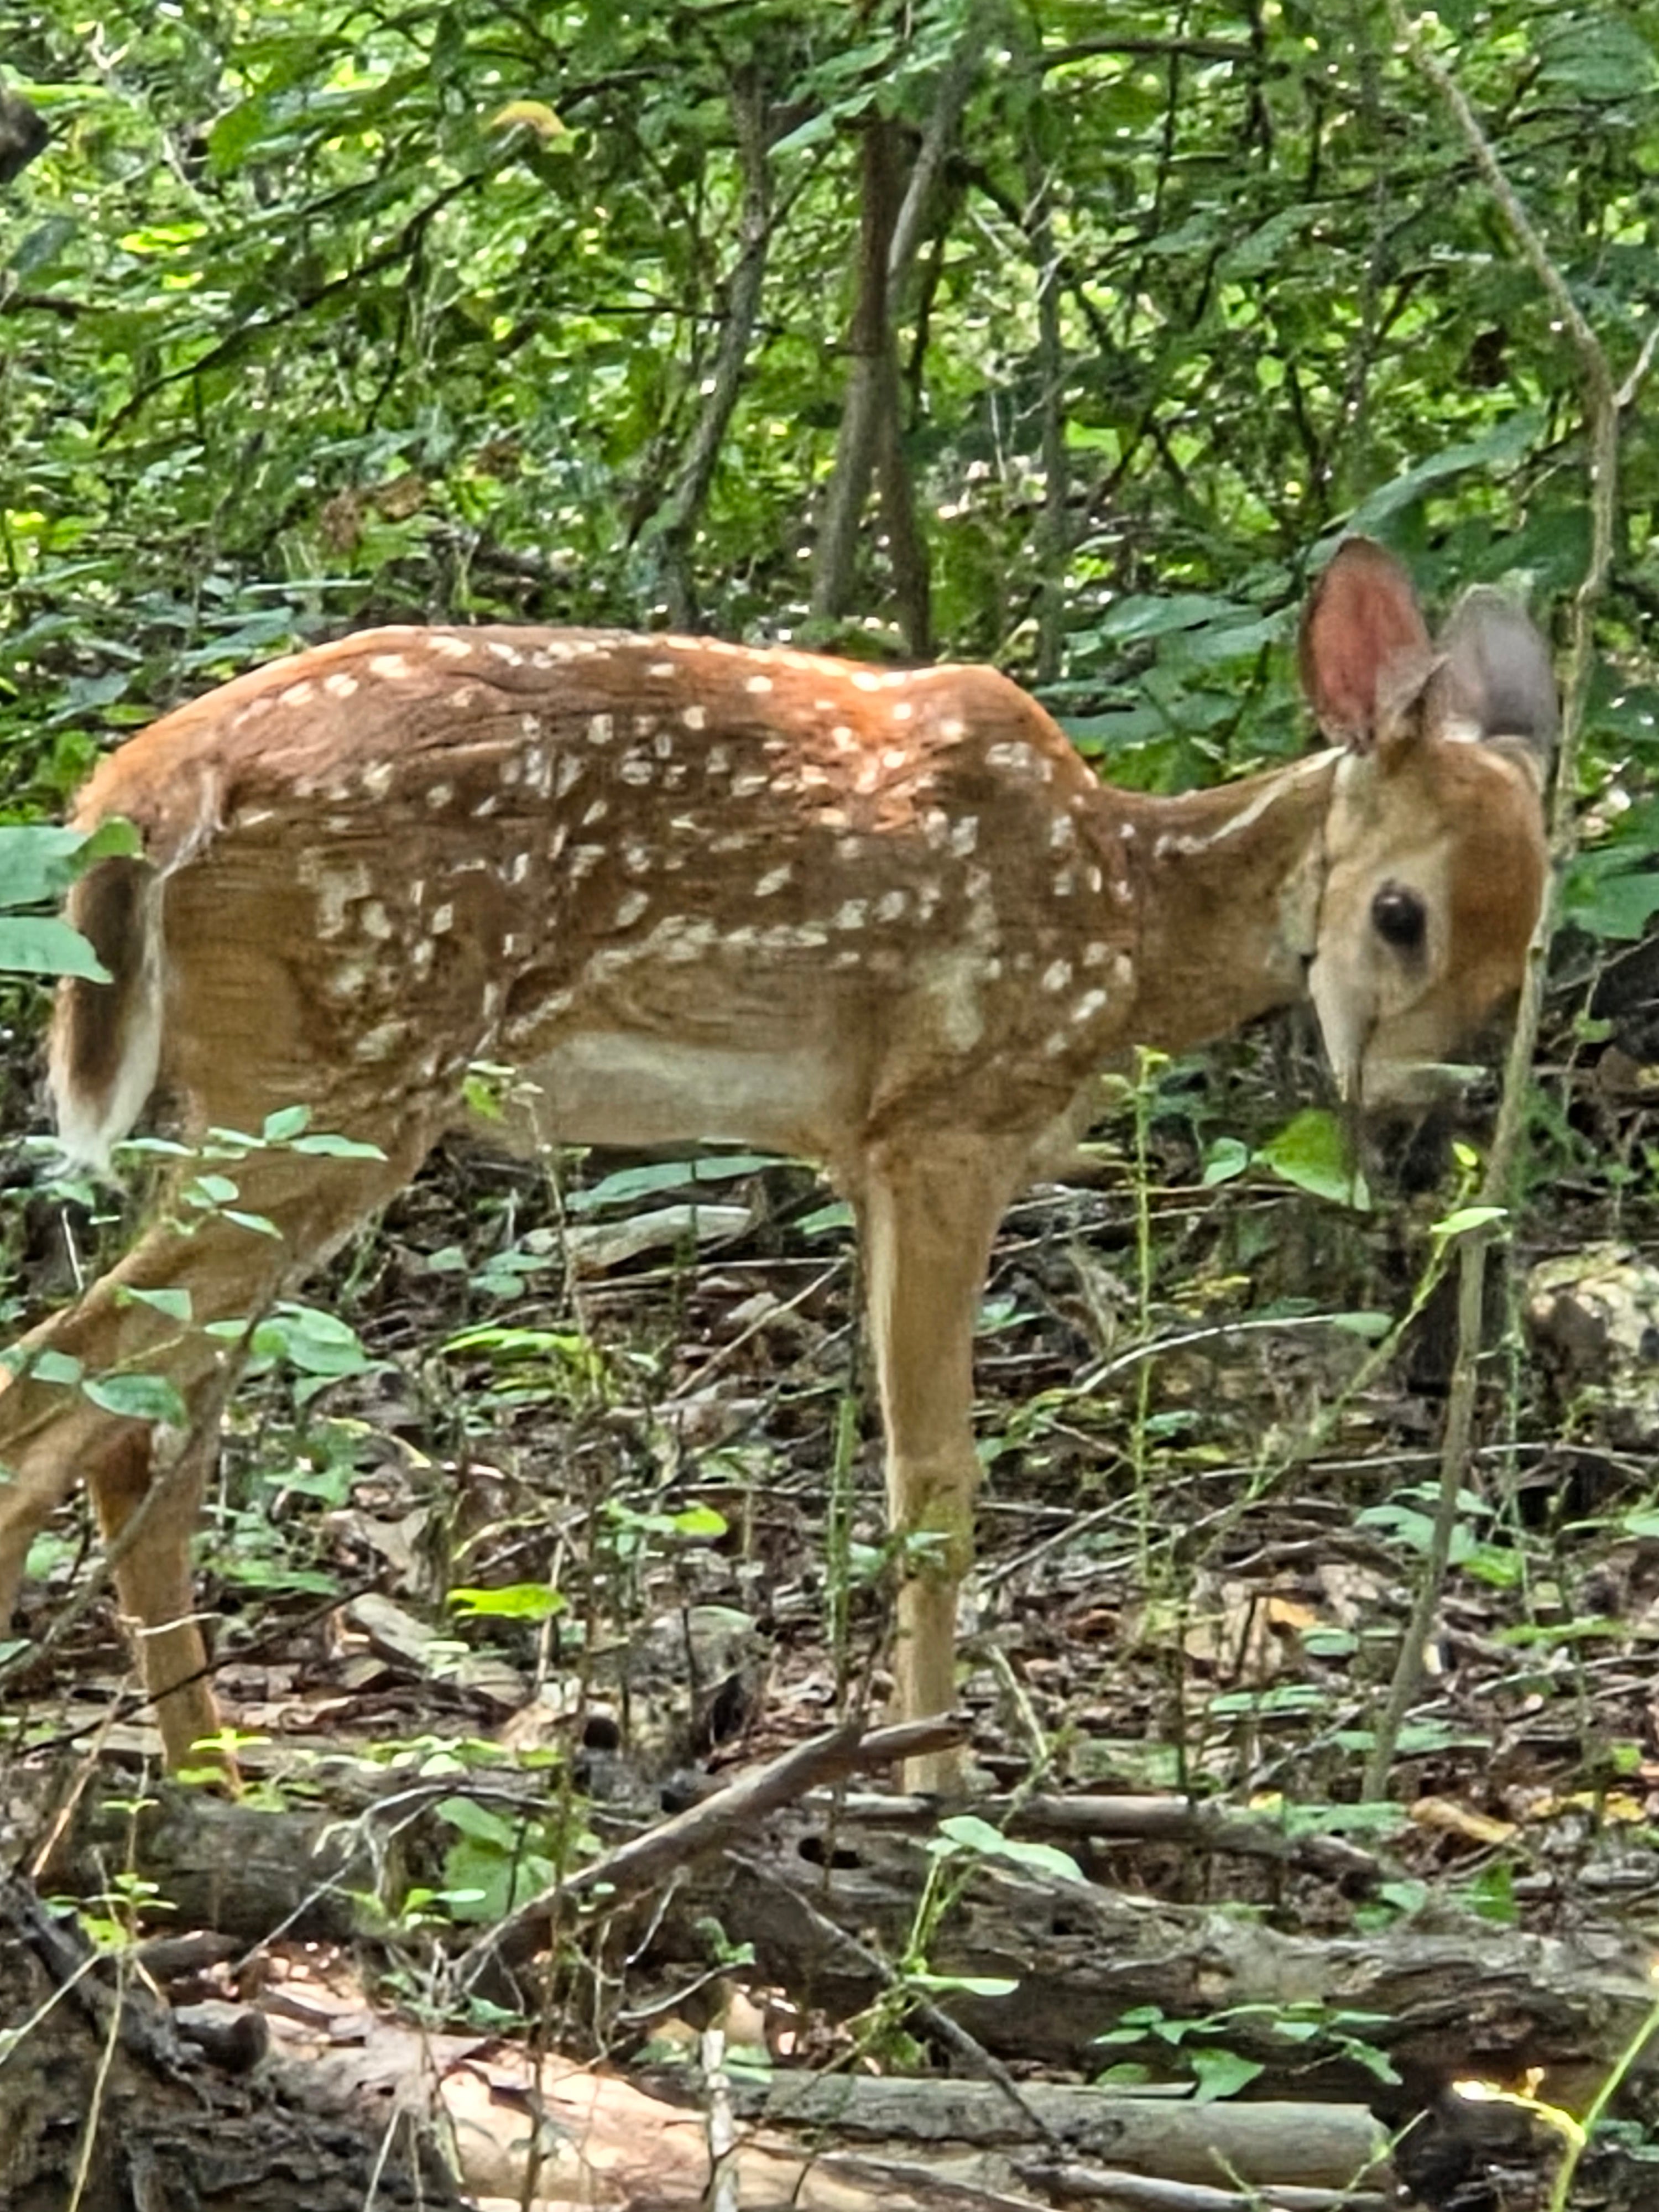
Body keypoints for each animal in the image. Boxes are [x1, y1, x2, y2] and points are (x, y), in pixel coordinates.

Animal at [0, 538, 1554, 1790]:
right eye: (1400, 912)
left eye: (1523, 948)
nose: (1411, 1134)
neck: (1129, 915)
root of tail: (143, 790)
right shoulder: (943, 1125)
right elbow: (936, 1480)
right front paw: (932, 1787)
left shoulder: (854, 1151)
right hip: (348, 1068)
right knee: (61, 1382)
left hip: (256, 1100)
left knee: (138, 1434)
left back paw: (216, 1776)